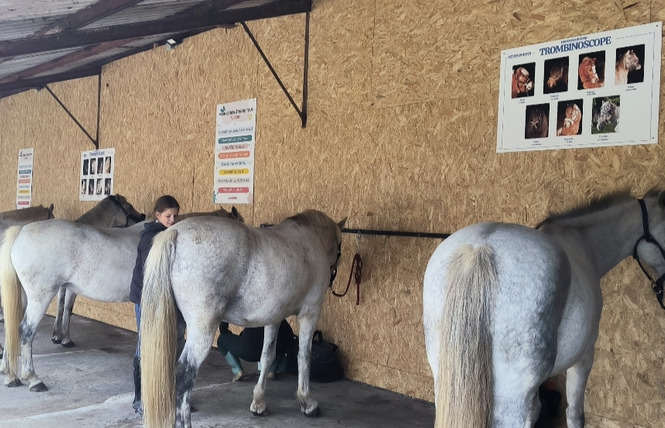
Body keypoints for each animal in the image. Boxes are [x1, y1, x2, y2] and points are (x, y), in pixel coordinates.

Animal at [139, 209, 345, 428]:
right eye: (340, 246)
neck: (309, 239)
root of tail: (175, 233)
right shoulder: (310, 313)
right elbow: (304, 356)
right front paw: (308, 404)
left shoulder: (275, 317)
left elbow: (267, 355)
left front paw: (259, 404)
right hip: (202, 330)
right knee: (184, 376)